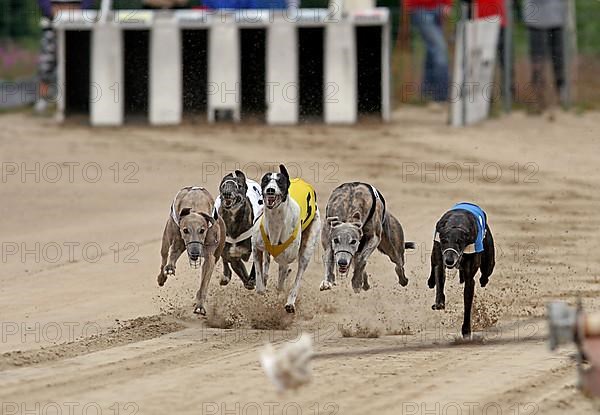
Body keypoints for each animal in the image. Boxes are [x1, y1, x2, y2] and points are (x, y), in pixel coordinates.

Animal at [251, 164, 322, 314]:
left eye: (280, 182)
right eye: (265, 180)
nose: (270, 190)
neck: (275, 222)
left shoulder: (285, 258)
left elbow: (281, 282)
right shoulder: (256, 248)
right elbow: (260, 283)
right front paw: (263, 289)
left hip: (307, 251)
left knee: (297, 278)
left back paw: (290, 302)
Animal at [432, 203, 496, 340]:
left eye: (459, 242)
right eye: (444, 240)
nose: (449, 260)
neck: (456, 222)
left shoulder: (469, 280)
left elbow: (467, 304)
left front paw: (466, 330)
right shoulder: (440, 258)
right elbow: (439, 278)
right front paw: (439, 303)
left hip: (489, 260)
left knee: (486, 274)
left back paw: (483, 280)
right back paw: (430, 281)